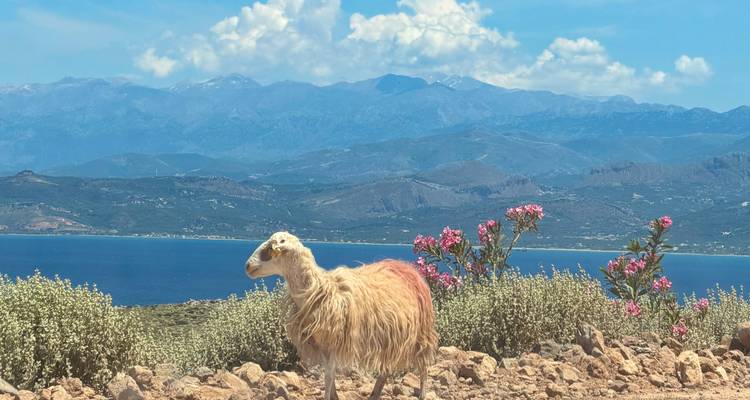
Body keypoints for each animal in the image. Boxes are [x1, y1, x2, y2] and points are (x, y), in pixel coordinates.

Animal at [245, 231, 438, 400]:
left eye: (270, 248)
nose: (247, 266)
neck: (320, 291)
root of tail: (406, 267)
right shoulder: (320, 343)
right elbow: (328, 373)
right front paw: (335, 396)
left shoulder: (335, 341)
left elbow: (329, 374)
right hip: (391, 336)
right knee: (386, 368)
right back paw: (375, 393)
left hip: (421, 331)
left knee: (423, 365)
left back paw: (422, 394)